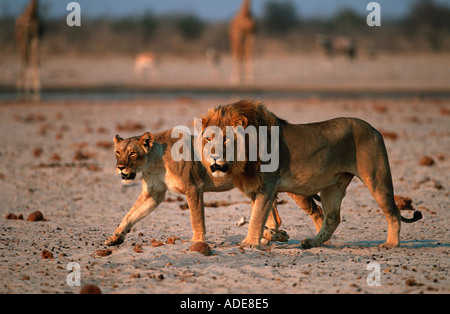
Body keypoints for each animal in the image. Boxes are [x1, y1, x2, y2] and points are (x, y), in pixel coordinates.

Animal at [104, 129, 324, 247]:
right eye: (118, 152)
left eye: (133, 153)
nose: (120, 167)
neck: (153, 162)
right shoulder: (153, 194)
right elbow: (130, 214)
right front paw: (115, 237)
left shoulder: (193, 187)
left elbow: (196, 219)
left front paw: (197, 241)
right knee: (274, 219)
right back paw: (269, 238)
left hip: (295, 188)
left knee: (317, 212)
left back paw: (320, 239)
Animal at [199, 99, 420, 249]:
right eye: (208, 138)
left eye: (226, 139)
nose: (213, 158)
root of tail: (375, 129)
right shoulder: (258, 189)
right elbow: (265, 220)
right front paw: (272, 236)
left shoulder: (266, 186)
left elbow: (256, 218)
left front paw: (250, 243)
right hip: (332, 186)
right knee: (331, 218)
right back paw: (312, 242)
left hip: (376, 178)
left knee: (393, 211)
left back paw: (391, 243)